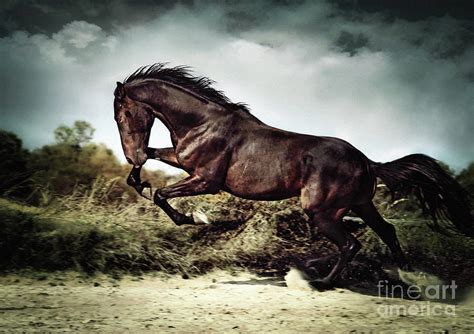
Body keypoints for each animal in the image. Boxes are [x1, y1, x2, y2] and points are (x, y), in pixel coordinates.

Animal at [113, 63, 472, 288]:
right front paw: (140, 180)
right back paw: (408, 278)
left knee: (351, 244)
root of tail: (368, 162)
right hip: (359, 205)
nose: (132, 154)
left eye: (123, 114)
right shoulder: (182, 160)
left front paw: (195, 218)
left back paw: (317, 281)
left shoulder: (206, 180)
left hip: (322, 211)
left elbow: (162, 195)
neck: (204, 123)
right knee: (386, 231)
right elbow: (147, 169)